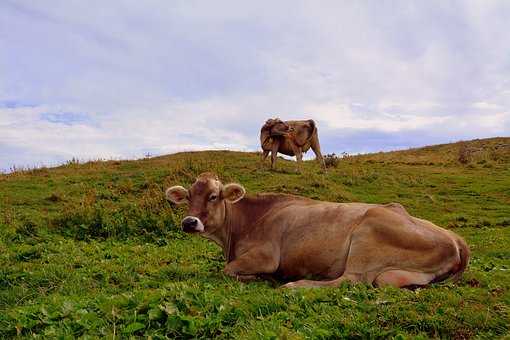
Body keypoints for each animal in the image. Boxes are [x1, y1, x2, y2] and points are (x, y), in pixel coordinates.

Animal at [166, 174, 470, 288]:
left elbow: (227, 270)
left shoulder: (266, 256)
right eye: (189, 196)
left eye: (213, 196)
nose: (189, 222)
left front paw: (258, 277)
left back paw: (295, 286)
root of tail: (456, 239)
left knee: (350, 280)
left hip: (368, 230)